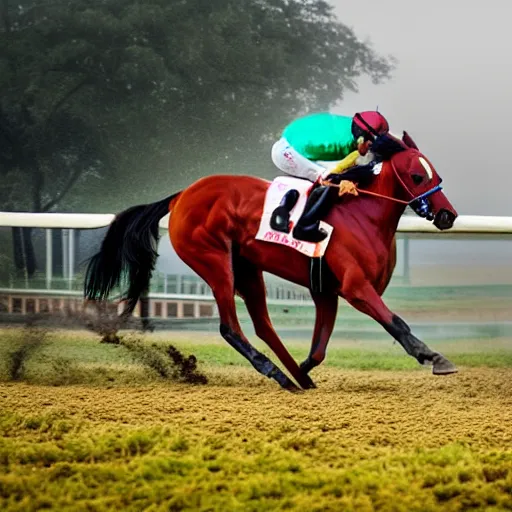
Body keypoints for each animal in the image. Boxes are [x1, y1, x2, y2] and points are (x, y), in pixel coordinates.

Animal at [85, 132, 460, 392]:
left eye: (435, 173)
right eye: (416, 177)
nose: (447, 215)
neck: (363, 216)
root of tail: (181, 196)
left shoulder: (326, 291)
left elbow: (319, 349)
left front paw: (304, 370)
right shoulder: (355, 286)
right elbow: (396, 322)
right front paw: (435, 358)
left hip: (247, 268)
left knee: (264, 325)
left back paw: (293, 377)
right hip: (215, 262)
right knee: (230, 328)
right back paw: (275, 372)